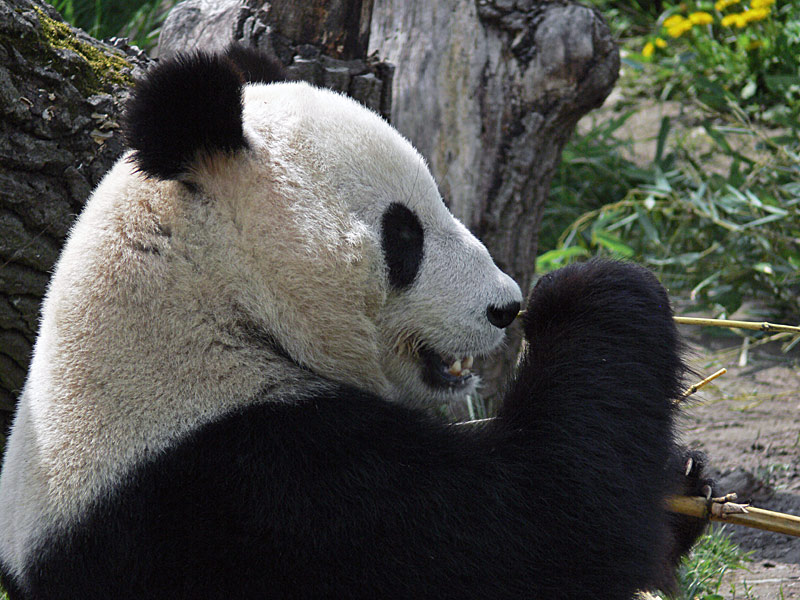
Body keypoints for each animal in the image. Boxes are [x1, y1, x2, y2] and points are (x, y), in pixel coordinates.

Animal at [1, 48, 712, 600]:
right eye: (404, 234)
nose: (505, 307)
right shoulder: (252, 488)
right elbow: (544, 526)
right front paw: (595, 286)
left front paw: (684, 479)